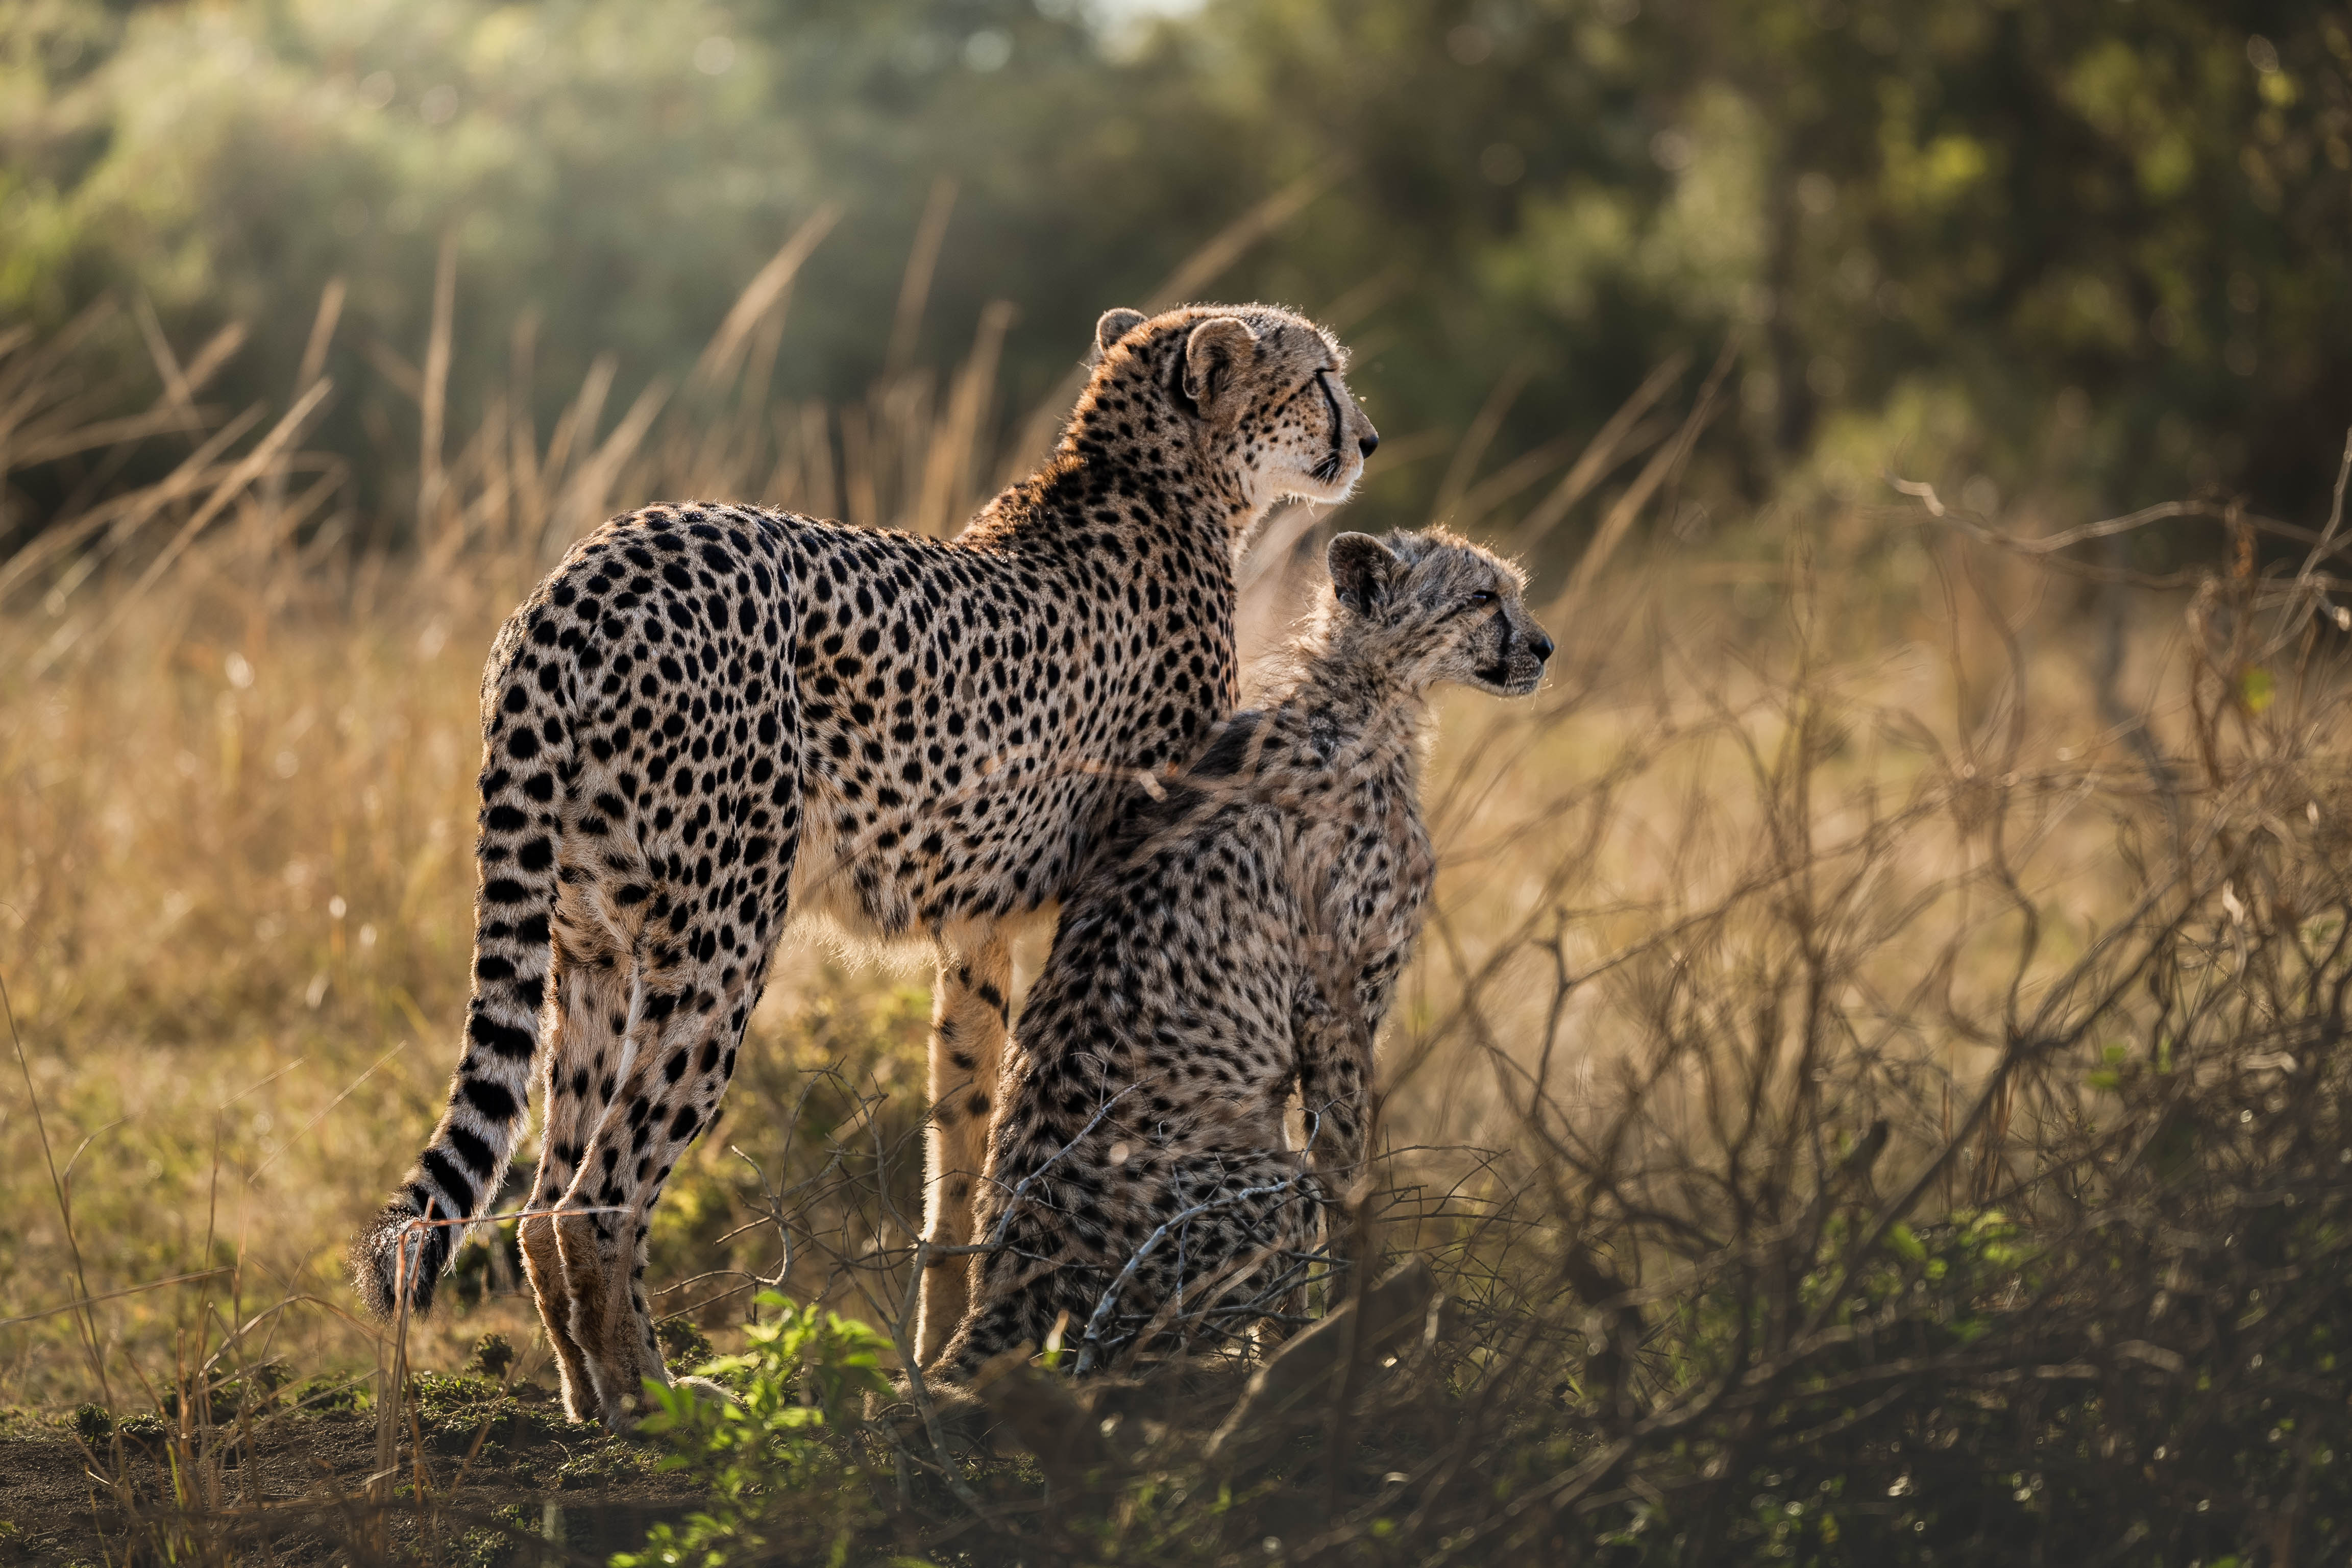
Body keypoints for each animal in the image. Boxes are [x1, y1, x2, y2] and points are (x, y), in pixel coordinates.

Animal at [350, 302, 1382, 1427]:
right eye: (1319, 377)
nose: (1369, 439)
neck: (1154, 478)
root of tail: (586, 570)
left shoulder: (981, 923)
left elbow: (964, 1139)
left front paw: (940, 1359)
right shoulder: (1127, 884)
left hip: (593, 944)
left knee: (541, 1202)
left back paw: (591, 1398)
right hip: (719, 941)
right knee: (597, 1198)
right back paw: (659, 1406)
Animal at [931, 526, 1552, 1382]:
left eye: (1512, 592)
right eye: (1483, 598)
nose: (1546, 647)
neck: (1362, 700)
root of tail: (994, 1298)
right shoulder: (1337, 1004)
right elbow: (1347, 1174)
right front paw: (1356, 1326)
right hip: (1254, 1206)